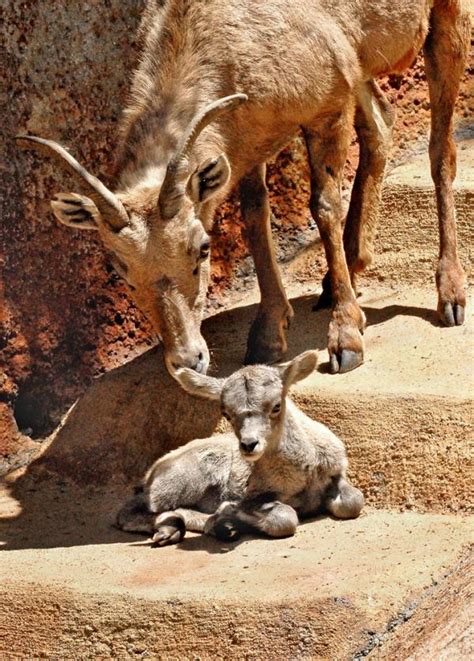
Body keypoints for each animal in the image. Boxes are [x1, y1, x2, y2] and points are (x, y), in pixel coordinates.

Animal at [16, 0, 468, 374]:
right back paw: (341, 277)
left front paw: (346, 343)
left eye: (203, 249)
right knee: (381, 125)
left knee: (441, 151)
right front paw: (267, 340)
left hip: (448, 22)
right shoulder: (248, 141)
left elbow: (324, 208)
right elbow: (254, 219)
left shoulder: (328, 106)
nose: (188, 361)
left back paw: (450, 298)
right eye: (119, 269)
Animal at [116, 348, 364, 544]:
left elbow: (354, 502)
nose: (249, 444)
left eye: (276, 406)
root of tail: (151, 473)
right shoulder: (254, 495)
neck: (305, 471)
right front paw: (229, 512)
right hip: (182, 479)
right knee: (131, 511)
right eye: (226, 413)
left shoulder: (337, 473)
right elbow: (285, 519)